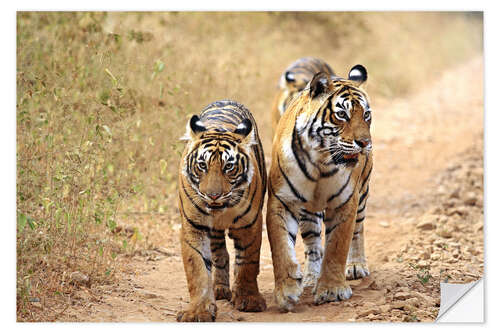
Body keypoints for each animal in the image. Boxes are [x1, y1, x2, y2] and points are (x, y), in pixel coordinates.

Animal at [177, 99, 268, 322]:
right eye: (202, 165)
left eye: (229, 167)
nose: (213, 195)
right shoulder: (194, 227)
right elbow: (197, 269)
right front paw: (198, 311)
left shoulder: (250, 225)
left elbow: (248, 263)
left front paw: (248, 299)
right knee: (220, 254)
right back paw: (219, 289)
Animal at [268, 65, 374, 312]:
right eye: (342, 115)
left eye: (366, 115)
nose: (365, 143)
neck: (320, 164)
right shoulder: (282, 200)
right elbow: (281, 248)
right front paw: (286, 292)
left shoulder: (346, 202)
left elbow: (337, 247)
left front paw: (332, 291)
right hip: (308, 212)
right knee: (313, 245)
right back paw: (310, 278)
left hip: (363, 194)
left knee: (358, 230)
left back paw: (356, 266)